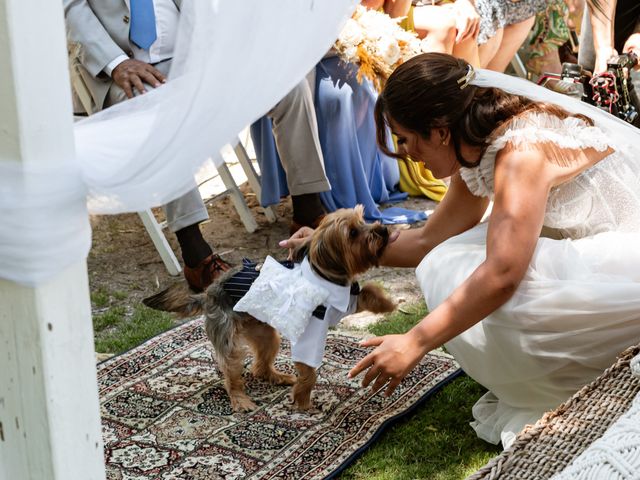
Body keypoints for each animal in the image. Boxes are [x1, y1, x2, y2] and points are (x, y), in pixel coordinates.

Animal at [144, 206, 396, 412]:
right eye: (352, 233)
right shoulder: (309, 338)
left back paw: (279, 377)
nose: (383, 230)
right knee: (231, 373)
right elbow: (309, 372)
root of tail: (208, 293)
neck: (326, 276)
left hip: (264, 332)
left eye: (363, 219)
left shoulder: (346, 301)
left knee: (260, 366)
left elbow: (368, 291)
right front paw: (303, 401)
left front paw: (387, 304)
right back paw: (241, 400)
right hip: (228, 336)